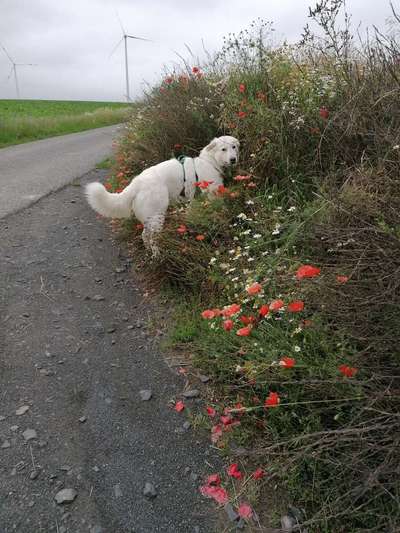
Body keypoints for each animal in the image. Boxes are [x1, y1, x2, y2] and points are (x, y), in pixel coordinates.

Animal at [85, 136, 239, 255]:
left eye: (234, 147)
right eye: (223, 149)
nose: (233, 159)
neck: (210, 161)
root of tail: (136, 183)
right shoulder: (212, 195)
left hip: (150, 218)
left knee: (144, 236)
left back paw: (149, 252)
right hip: (157, 216)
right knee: (152, 238)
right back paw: (158, 256)